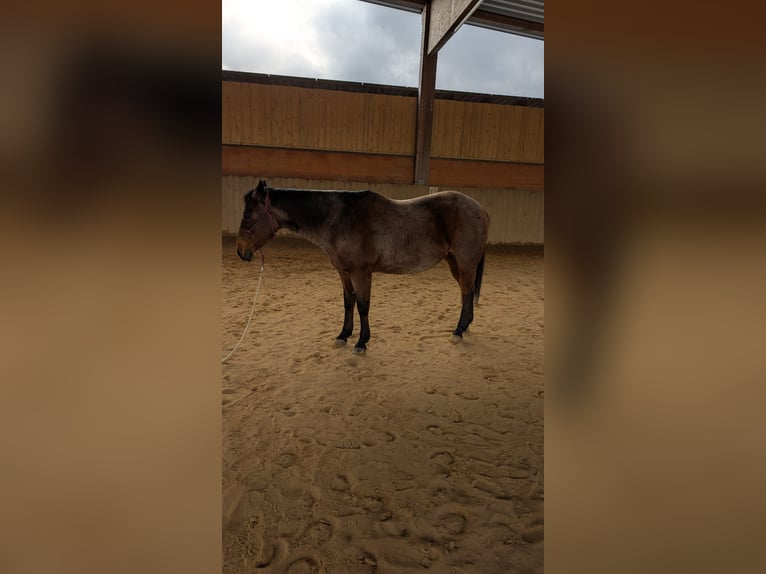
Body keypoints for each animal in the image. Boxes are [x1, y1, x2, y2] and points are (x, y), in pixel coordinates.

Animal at [235, 180, 490, 354]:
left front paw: (361, 342)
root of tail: (480, 209)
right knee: (466, 293)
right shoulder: (343, 271)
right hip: (455, 263)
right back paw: (465, 326)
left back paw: (458, 331)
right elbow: (348, 302)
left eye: (247, 215)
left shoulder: (361, 272)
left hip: (465, 263)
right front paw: (343, 335)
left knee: (466, 292)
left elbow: (363, 305)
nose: (241, 251)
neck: (340, 219)